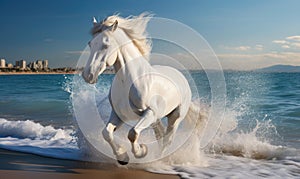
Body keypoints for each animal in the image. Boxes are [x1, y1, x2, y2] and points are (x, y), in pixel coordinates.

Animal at [82, 13, 191, 165]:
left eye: (106, 44)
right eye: (90, 44)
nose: (88, 75)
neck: (129, 80)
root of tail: (181, 77)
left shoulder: (150, 113)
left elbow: (132, 133)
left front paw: (141, 151)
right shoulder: (118, 114)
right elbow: (106, 133)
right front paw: (122, 157)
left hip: (175, 117)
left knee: (167, 140)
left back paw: (158, 160)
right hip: (156, 120)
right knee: (160, 135)